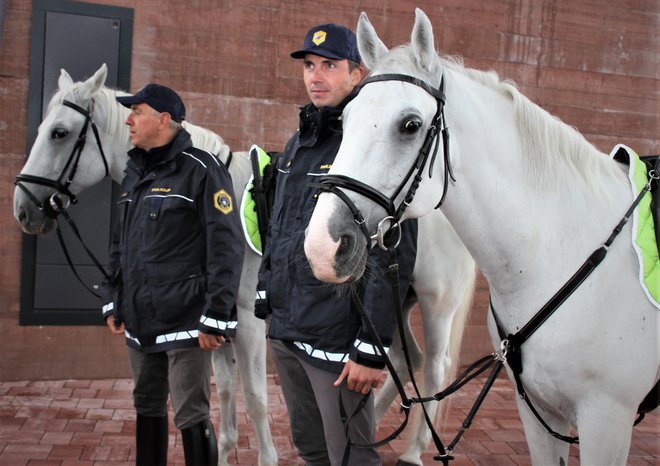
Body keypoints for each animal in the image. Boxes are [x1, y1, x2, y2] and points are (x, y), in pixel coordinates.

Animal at [14, 62, 480, 466]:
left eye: (59, 133)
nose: (24, 208)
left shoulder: (249, 323)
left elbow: (255, 397)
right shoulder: (217, 325)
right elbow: (224, 394)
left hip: (436, 305)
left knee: (435, 368)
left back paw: (412, 451)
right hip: (394, 308)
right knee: (404, 360)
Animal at [306, 8, 660, 466]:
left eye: (410, 125)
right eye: (345, 120)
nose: (322, 245)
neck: (565, 251)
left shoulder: (607, 418)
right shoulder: (539, 412)